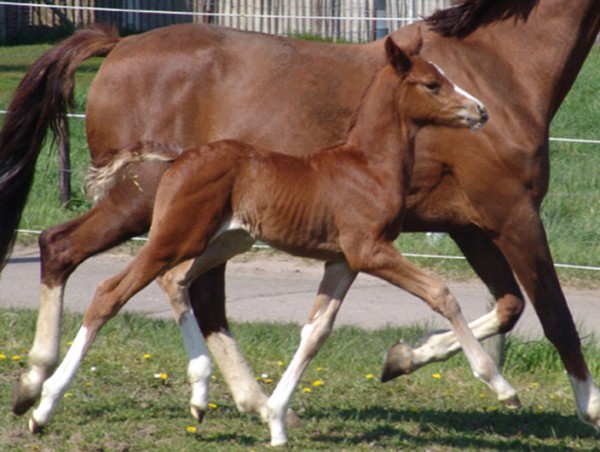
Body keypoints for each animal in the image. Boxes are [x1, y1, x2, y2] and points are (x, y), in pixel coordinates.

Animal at [27, 36, 506, 444]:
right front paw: (499, 384)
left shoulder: (342, 261)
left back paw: (200, 393)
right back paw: (42, 404)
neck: (367, 166)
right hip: (174, 236)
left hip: (224, 241)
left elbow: (315, 332)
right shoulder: (370, 251)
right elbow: (441, 293)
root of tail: (180, 157)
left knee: (176, 280)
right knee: (110, 291)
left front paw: (276, 420)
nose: (481, 110)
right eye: (432, 83)